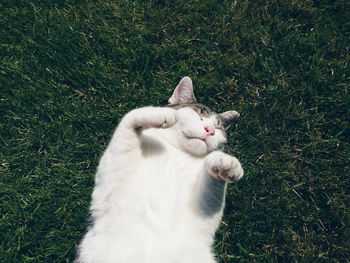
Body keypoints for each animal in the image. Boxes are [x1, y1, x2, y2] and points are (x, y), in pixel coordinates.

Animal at [74, 77, 243, 263]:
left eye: (219, 127)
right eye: (199, 115)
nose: (210, 130)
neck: (177, 151)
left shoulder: (201, 213)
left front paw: (225, 163)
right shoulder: (115, 174)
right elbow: (130, 117)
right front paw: (164, 113)